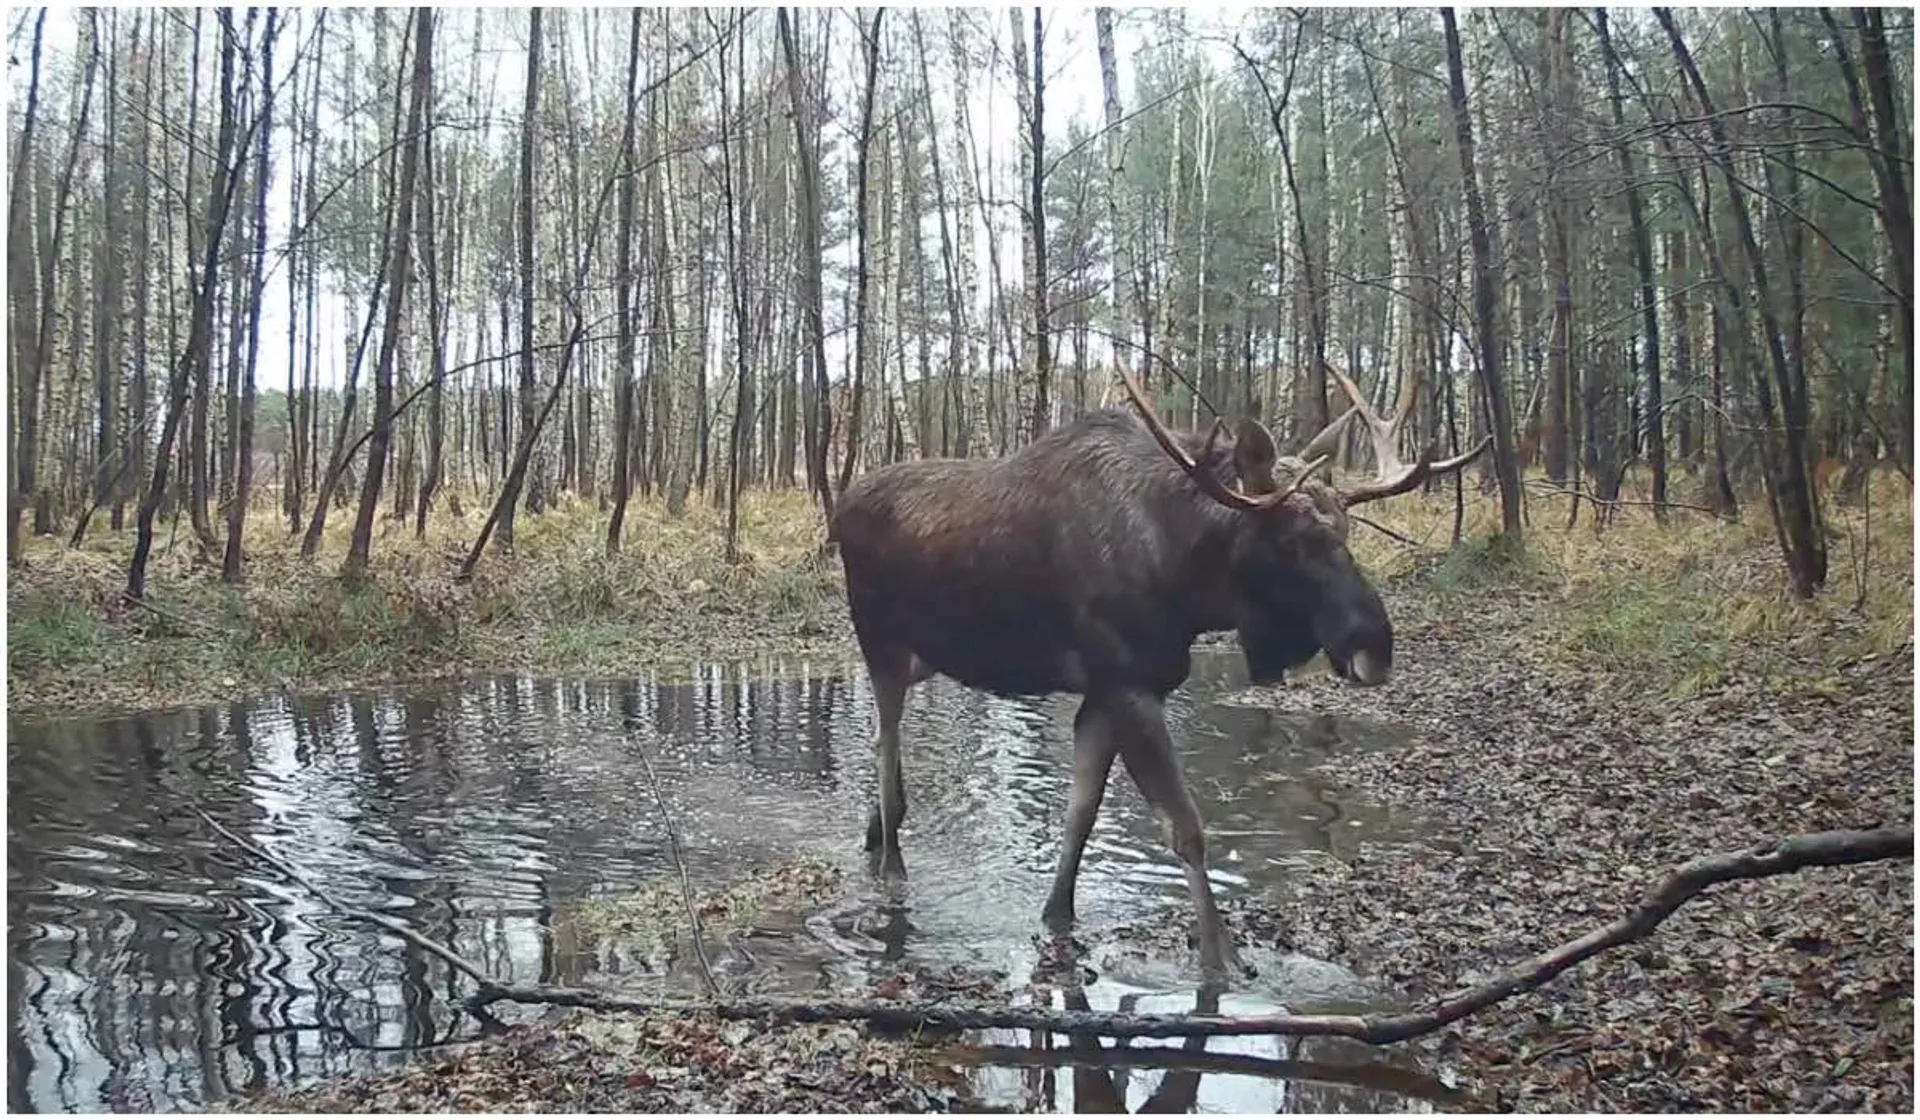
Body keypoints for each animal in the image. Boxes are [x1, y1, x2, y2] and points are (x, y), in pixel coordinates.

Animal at [829, 361, 1482, 983]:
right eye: (1293, 540)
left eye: (1346, 531)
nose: (1374, 646)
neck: (1187, 578)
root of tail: (838, 508)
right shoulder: (1131, 688)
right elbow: (1186, 829)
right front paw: (1221, 959)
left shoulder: (1106, 694)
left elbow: (1081, 817)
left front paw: (1058, 915)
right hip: (881, 645)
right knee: (885, 750)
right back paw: (892, 866)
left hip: (924, 658)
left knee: (880, 745)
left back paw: (871, 835)